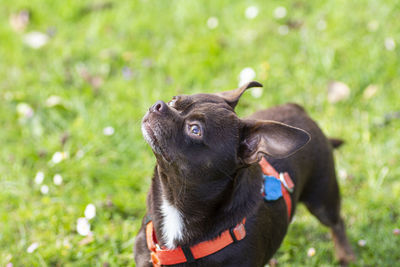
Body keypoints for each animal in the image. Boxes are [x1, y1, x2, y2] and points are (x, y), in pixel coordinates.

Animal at [134, 82, 354, 266]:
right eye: (174, 100)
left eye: (195, 129)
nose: (159, 105)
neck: (175, 200)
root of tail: (298, 110)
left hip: (322, 199)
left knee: (337, 222)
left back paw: (346, 255)